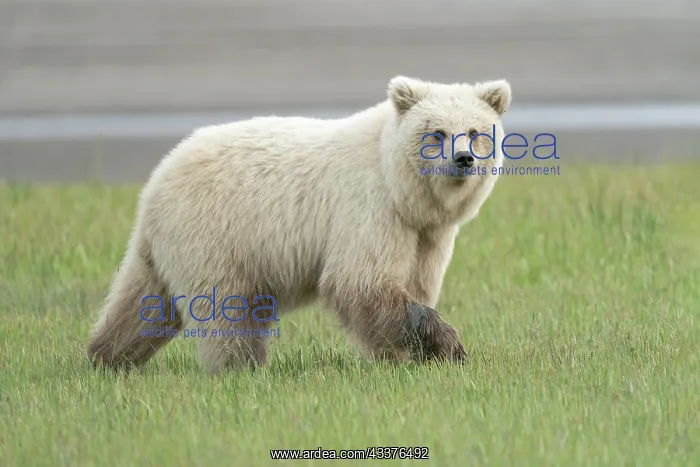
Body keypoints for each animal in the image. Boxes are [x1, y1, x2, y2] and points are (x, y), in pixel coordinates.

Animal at [85, 75, 511, 374]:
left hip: (169, 246)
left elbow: (413, 284)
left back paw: (105, 356)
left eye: (475, 132)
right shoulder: (368, 210)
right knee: (228, 308)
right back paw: (242, 367)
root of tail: (156, 180)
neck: (403, 191)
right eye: (437, 132)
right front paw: (449, 347)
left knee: (142, 302)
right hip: (215, 232)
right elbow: (360, 282)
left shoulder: (425, 234)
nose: (463, 159)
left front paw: (405, 355)